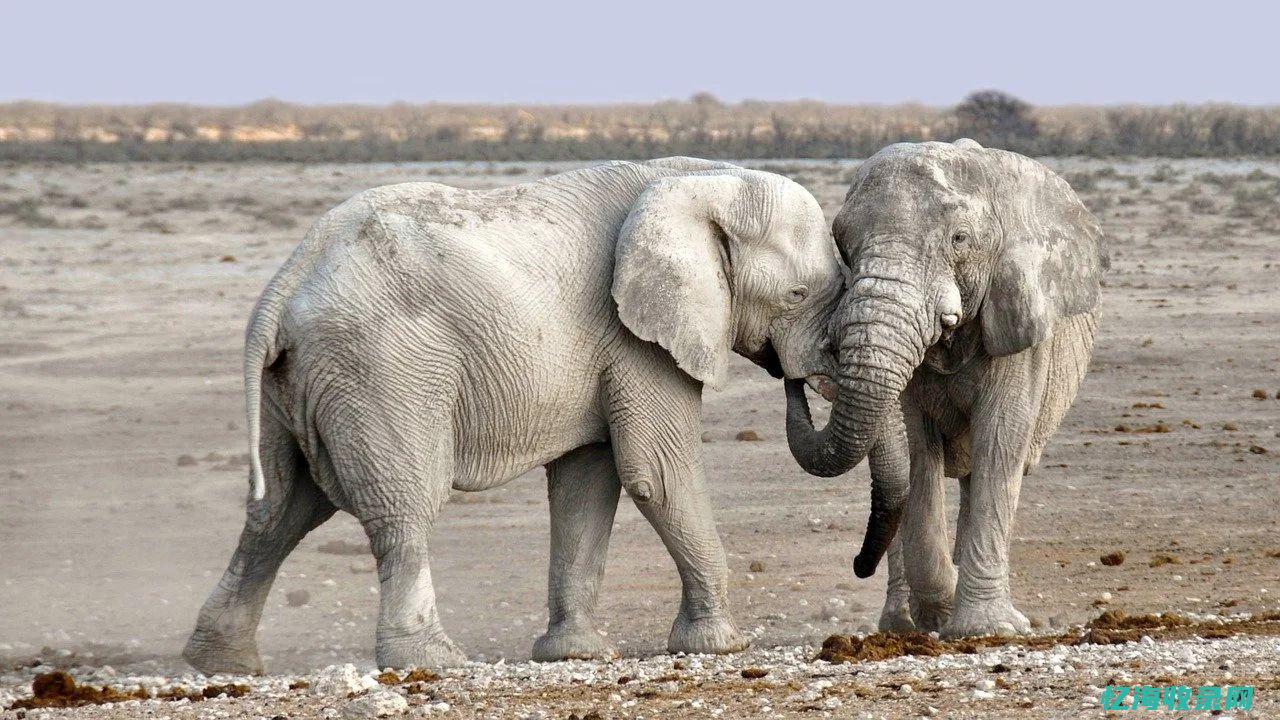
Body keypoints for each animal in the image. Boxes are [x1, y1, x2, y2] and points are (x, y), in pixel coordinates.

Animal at [180, 156, 839, 671]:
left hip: (297, 383)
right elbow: (656, 473)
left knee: (280, 511)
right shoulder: (636, 338)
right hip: (381, 370)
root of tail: (284, 284)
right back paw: (433, 661)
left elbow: (587, 483)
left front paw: (574, 655)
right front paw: (721, 646)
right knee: (402, 508)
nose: (796, 379)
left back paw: (222, 662)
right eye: (797, 295)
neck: (703, 180)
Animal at [778, 139, 1111, 632]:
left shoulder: (1018, 319)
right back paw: (901, 624)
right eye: (843, 243)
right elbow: (916, 448)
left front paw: (989, 629)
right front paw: (942, 611)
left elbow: (1001, 440)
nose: (858, 566)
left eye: (960, 240)